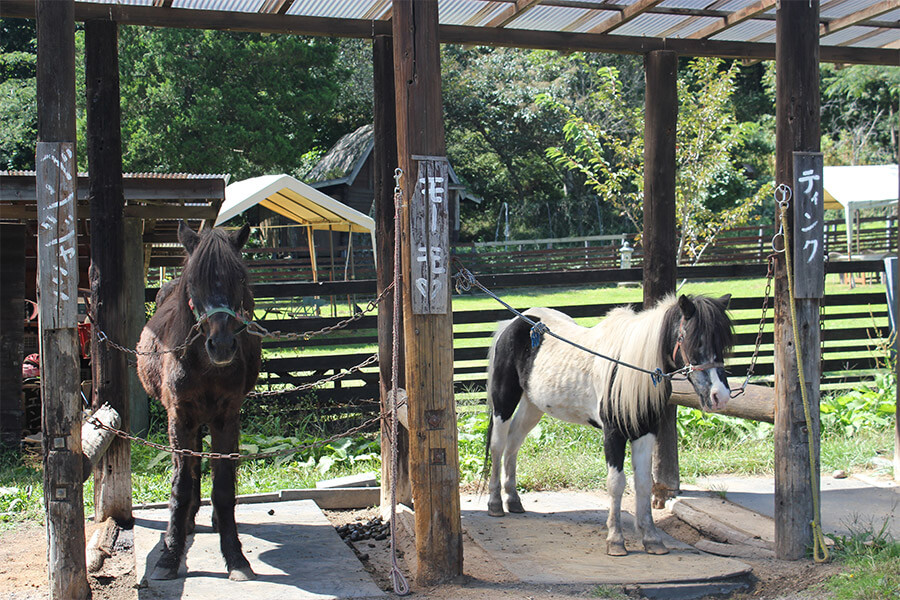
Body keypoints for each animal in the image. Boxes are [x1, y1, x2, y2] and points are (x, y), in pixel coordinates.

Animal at [137, 221, 262, 580]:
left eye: (240, 279)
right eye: (194, 282)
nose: (221, 345)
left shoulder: (226, 418)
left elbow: (223, 487)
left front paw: (236, 558)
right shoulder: (180, 417)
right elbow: (181, 485)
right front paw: (169, 556)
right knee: (190, 467)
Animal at [486, 296, 732, 556]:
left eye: (723, 342)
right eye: (694, 340)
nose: (720, 396)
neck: (628, 370)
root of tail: (512, 323)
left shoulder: (646, 432)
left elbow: (643, 483)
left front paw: (652, 538)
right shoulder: (613, 434)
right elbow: (616, 483)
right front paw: (615, 540)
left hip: (533, 405)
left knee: (513, 444)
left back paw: (513, 500)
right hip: (504, 401)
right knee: (498, 446)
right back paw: (495, 504)